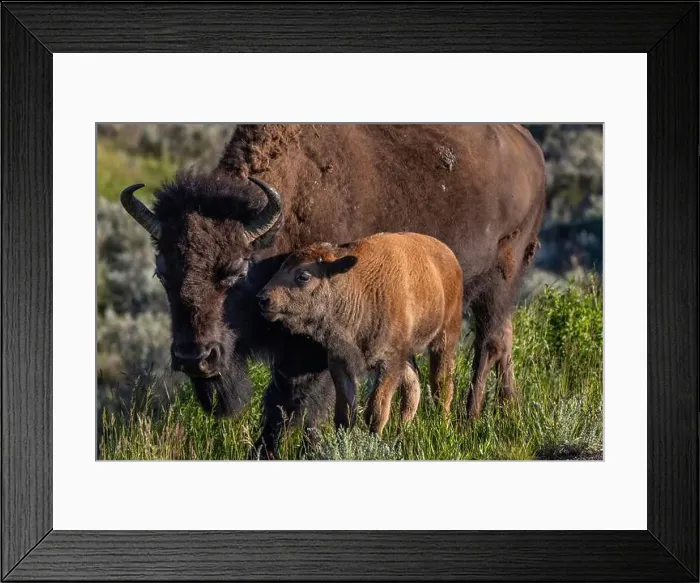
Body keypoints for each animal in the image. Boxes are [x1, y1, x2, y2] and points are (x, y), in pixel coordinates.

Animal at [257, 233, 463, 436]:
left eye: (304, 276)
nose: (263, 299)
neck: (355, 288)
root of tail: (448, 255)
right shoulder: (341, 363)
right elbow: (345, 414)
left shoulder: (389, 362)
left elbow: (376, 411)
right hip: (408, 355)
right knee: (413, 387)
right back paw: (401, 432)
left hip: (445, 338)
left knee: (441, 385)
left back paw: (443, 426)